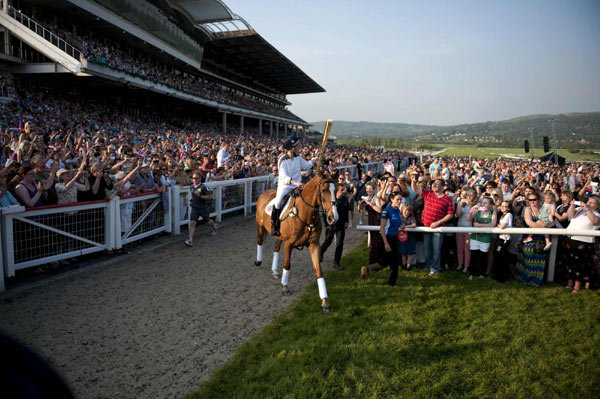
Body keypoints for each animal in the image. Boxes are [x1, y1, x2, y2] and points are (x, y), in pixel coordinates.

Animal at [255, 167, 340, 314]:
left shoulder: (314, 244)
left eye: (336, 189)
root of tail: (264, 193)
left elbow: (319, 271)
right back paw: (258, 261)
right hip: (260, 227)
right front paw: (285, 288)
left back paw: (274, 271)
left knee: (276, 248)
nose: (333, 217)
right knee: (260, 242)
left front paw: (325, 302)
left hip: (279, 236)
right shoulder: (289, 244)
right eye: (324, 190)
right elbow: (287, 265)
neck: (304, 215)